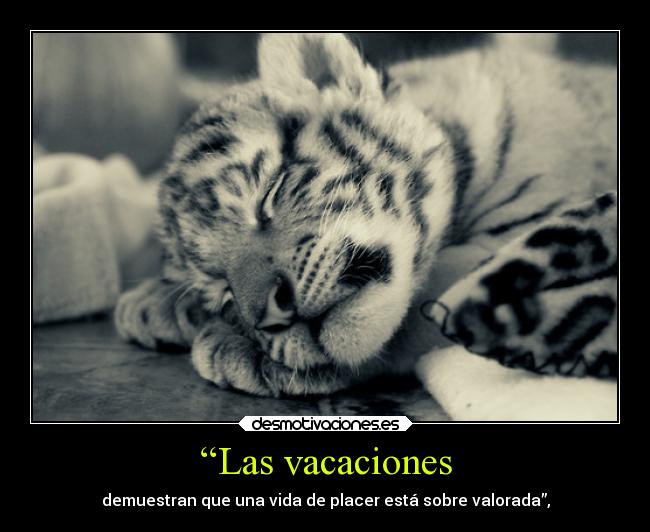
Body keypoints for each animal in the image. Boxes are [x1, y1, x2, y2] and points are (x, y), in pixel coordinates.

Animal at [115, 32, 617, 397]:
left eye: (271, 192)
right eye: (219, 287)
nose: (271, 316)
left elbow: (436, 296)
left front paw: (233, 347)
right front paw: (155, 303)